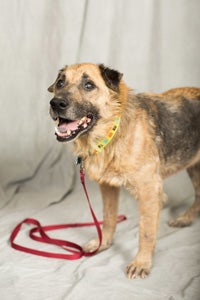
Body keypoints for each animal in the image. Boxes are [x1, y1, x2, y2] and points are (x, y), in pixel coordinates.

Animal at [47, 63, 200, 278]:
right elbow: (108, 217)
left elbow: (146, 231)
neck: (113, 130)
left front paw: (142, 262)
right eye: (60, 82)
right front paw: (103, 243)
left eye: (89, 85)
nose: (55, 103)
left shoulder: (149, 191)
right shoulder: (108, 186)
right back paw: (185, 219)